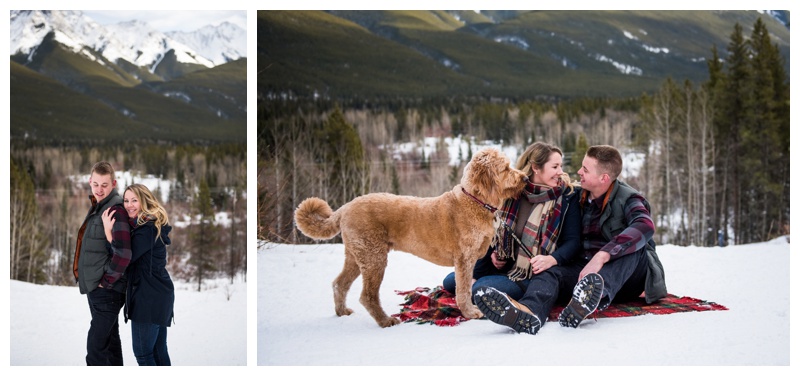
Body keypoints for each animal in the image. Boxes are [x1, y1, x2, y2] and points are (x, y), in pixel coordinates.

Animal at [292, 148, 524, 328]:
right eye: (505, 168)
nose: (524, 178)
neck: (475, 201)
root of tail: (345, 208)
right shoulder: (464, 260)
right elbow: (464, 289)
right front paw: (471, 312)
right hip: (373, 256)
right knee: (367, 295)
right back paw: (386, 321)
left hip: (356, 256)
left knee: (339, 284)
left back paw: (342, 312)